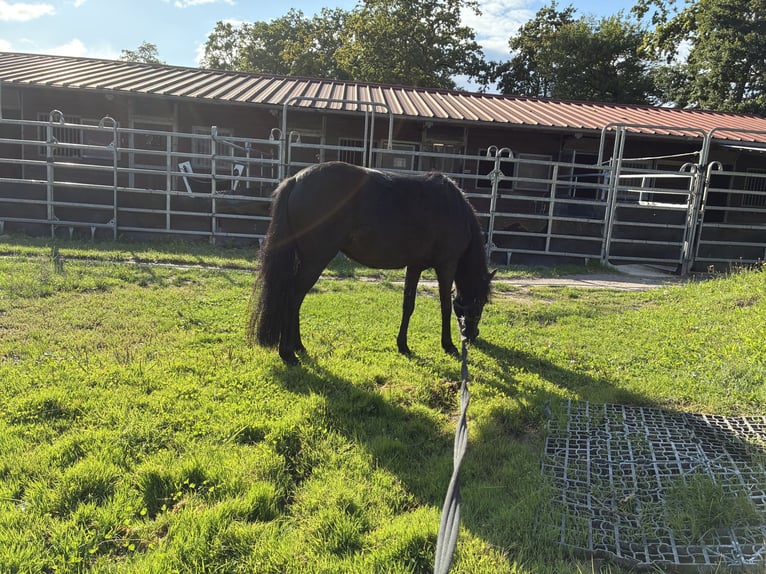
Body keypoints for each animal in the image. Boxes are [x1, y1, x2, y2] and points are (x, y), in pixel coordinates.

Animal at [246, 161, 495, 365]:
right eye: (481, 302)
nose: (473, 335)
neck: (453, 208)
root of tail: (296, 180)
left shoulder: (414, 266)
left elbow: (408, 305)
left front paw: (403, 345)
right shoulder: (446, 266)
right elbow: (444, 306)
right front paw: (448, 345)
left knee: (296, 300)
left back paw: (298, 346)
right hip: (315, 261)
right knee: (293, 298)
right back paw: (288, 353)